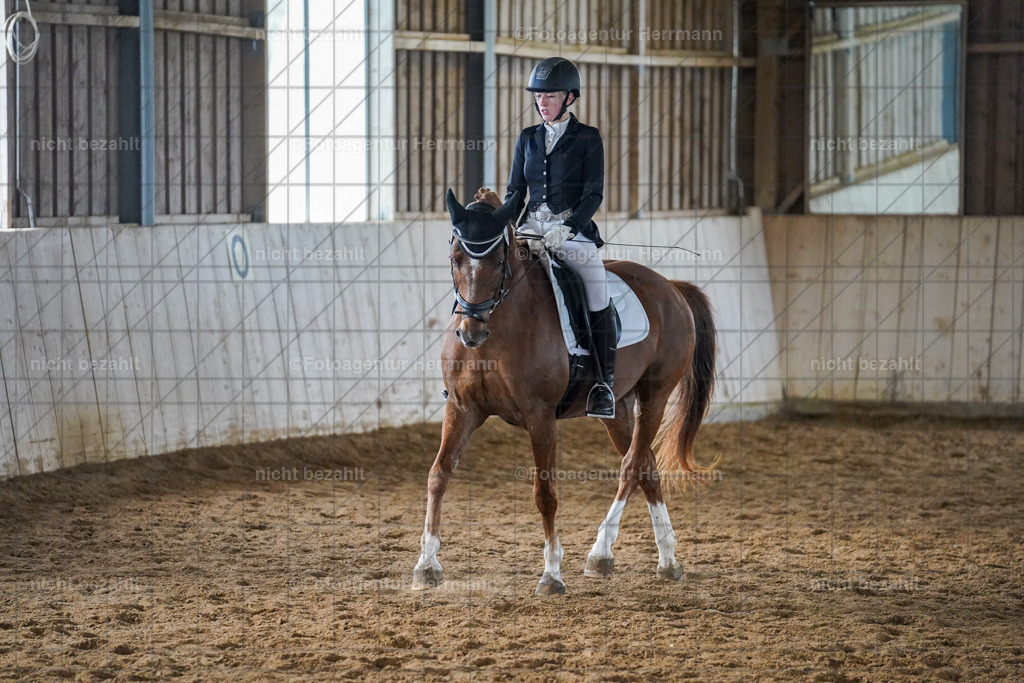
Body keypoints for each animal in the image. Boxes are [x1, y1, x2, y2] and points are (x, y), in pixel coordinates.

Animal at [412, 187, 718, 595]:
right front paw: (426, 565)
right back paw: (665, 559)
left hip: (655, 394)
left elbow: (546, 494)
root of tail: (671, 286)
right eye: (454, 258)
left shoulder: (540, 416)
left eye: (498, 261)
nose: (471, 333)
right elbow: (438, 474)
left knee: (632, 466)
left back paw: (601, 552)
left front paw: (551, 574)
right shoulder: (462, 408)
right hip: (617, 408)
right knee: (647, 467)